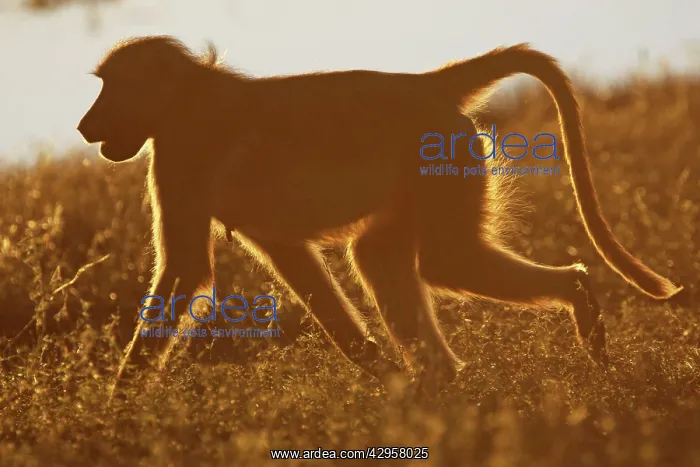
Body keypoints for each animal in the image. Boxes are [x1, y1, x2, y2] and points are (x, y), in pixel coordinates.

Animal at [76, 36, 684, 398]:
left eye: (111, 87)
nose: (84, 126)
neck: (183, 97)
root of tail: (422, 83)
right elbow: (299, 270)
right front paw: (385, 376)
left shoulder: (178, 151)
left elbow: (184, 271)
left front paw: (116, 411)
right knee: (379, 256)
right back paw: (442, 388)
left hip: (443, 157)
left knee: (446, 263)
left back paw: (577, 307)